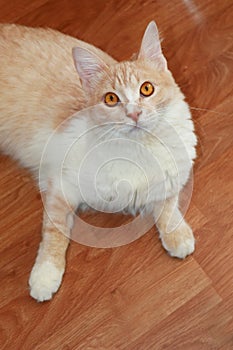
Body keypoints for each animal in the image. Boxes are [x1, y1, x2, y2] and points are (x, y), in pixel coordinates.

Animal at [0, 21, 197, 300]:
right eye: (111, 99)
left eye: (146, 89)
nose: (134, 114)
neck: (137, 148)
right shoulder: (61, 186)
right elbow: (54, 232)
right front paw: (45, 275)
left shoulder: (168, 178)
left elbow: (168, 207)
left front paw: (177, 236)